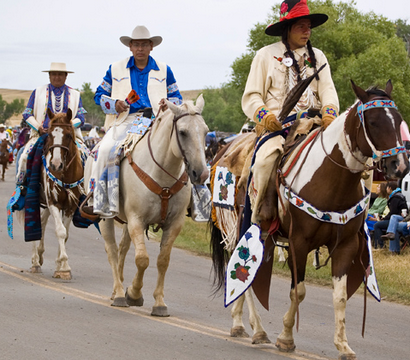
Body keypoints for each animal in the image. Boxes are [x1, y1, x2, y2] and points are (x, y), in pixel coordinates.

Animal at [30, 108, 85, 280]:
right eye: (49, 135)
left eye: (68, 135)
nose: (55, 165)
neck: (65, 175)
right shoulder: (54, 203)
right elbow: (60, 232)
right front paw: (64, 266)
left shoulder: (71, 206)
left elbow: (65, 234)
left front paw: (60, 264)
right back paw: (35, 261)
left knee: (41, 222)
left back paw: (39, 255)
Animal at [211, 80, 410, 358]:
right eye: (373, 122)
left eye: (399, 120)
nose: (399, 166)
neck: (331, 180)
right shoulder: (299, 243)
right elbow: (299, 291)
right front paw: (286, 338)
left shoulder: (346, 245)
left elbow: (339, 296)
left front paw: (343, 344)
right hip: (241, 226)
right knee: (242, 270)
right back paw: (255, 328)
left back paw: (241, 324)